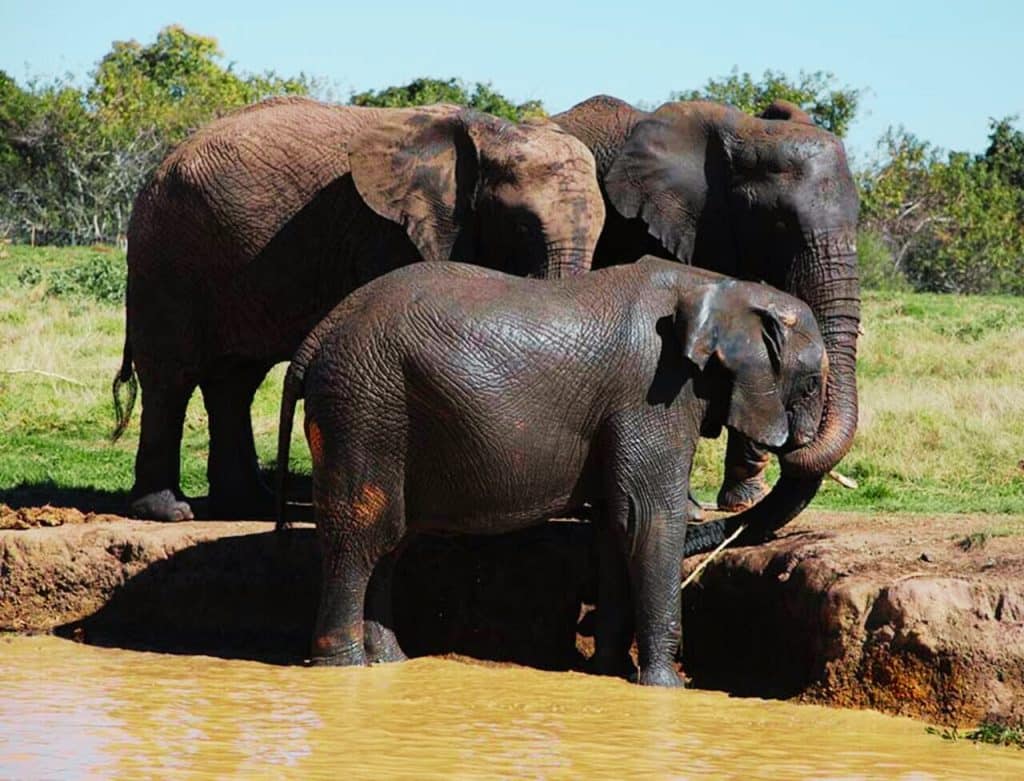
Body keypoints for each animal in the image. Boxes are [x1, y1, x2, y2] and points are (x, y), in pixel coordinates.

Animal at [112, 99, 606, 524]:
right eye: (520, 225)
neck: (489, 130)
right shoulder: (386, 230)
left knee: (235, 381)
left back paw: (247, 504)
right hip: (167, 255)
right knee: (171, 377)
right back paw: (169, 512)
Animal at [276, 259, 827, 687]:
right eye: (811, 385)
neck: (717, 284)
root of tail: (318, 334)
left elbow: (615, 525)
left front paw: (608, 672)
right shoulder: (655, 394)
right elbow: (649, 519)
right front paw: (665, 688)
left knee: (389, 541)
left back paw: (392, 663)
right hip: (364, 406)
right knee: (362, 536)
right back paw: (344, 670)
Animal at [557, 94, 860, 540]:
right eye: (778, 222)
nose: (795, 443)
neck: (746, 131)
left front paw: (743, 500)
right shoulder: (655, 224)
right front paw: (691, 510)